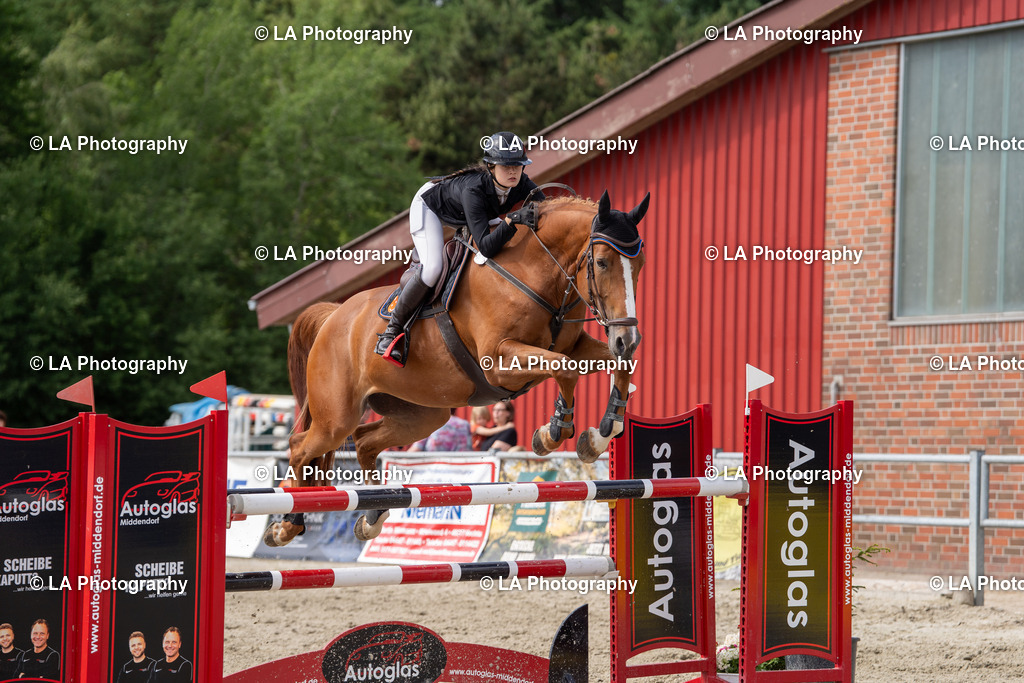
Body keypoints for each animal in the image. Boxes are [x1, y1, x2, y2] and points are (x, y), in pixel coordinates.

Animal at [266, 190, 649, 547]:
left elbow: (618, 365)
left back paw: (372, 517)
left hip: (422, 415)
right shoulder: (498, 362)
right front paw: (552, 432)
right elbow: (566, 369)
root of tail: (334, 315)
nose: (628, 338)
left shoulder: (574, 345)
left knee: (363, 441)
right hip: (336, 418)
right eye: (601, 262)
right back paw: (287, 526)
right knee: (301, 447)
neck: (536, 275)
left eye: (640, 265)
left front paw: (599, 435)